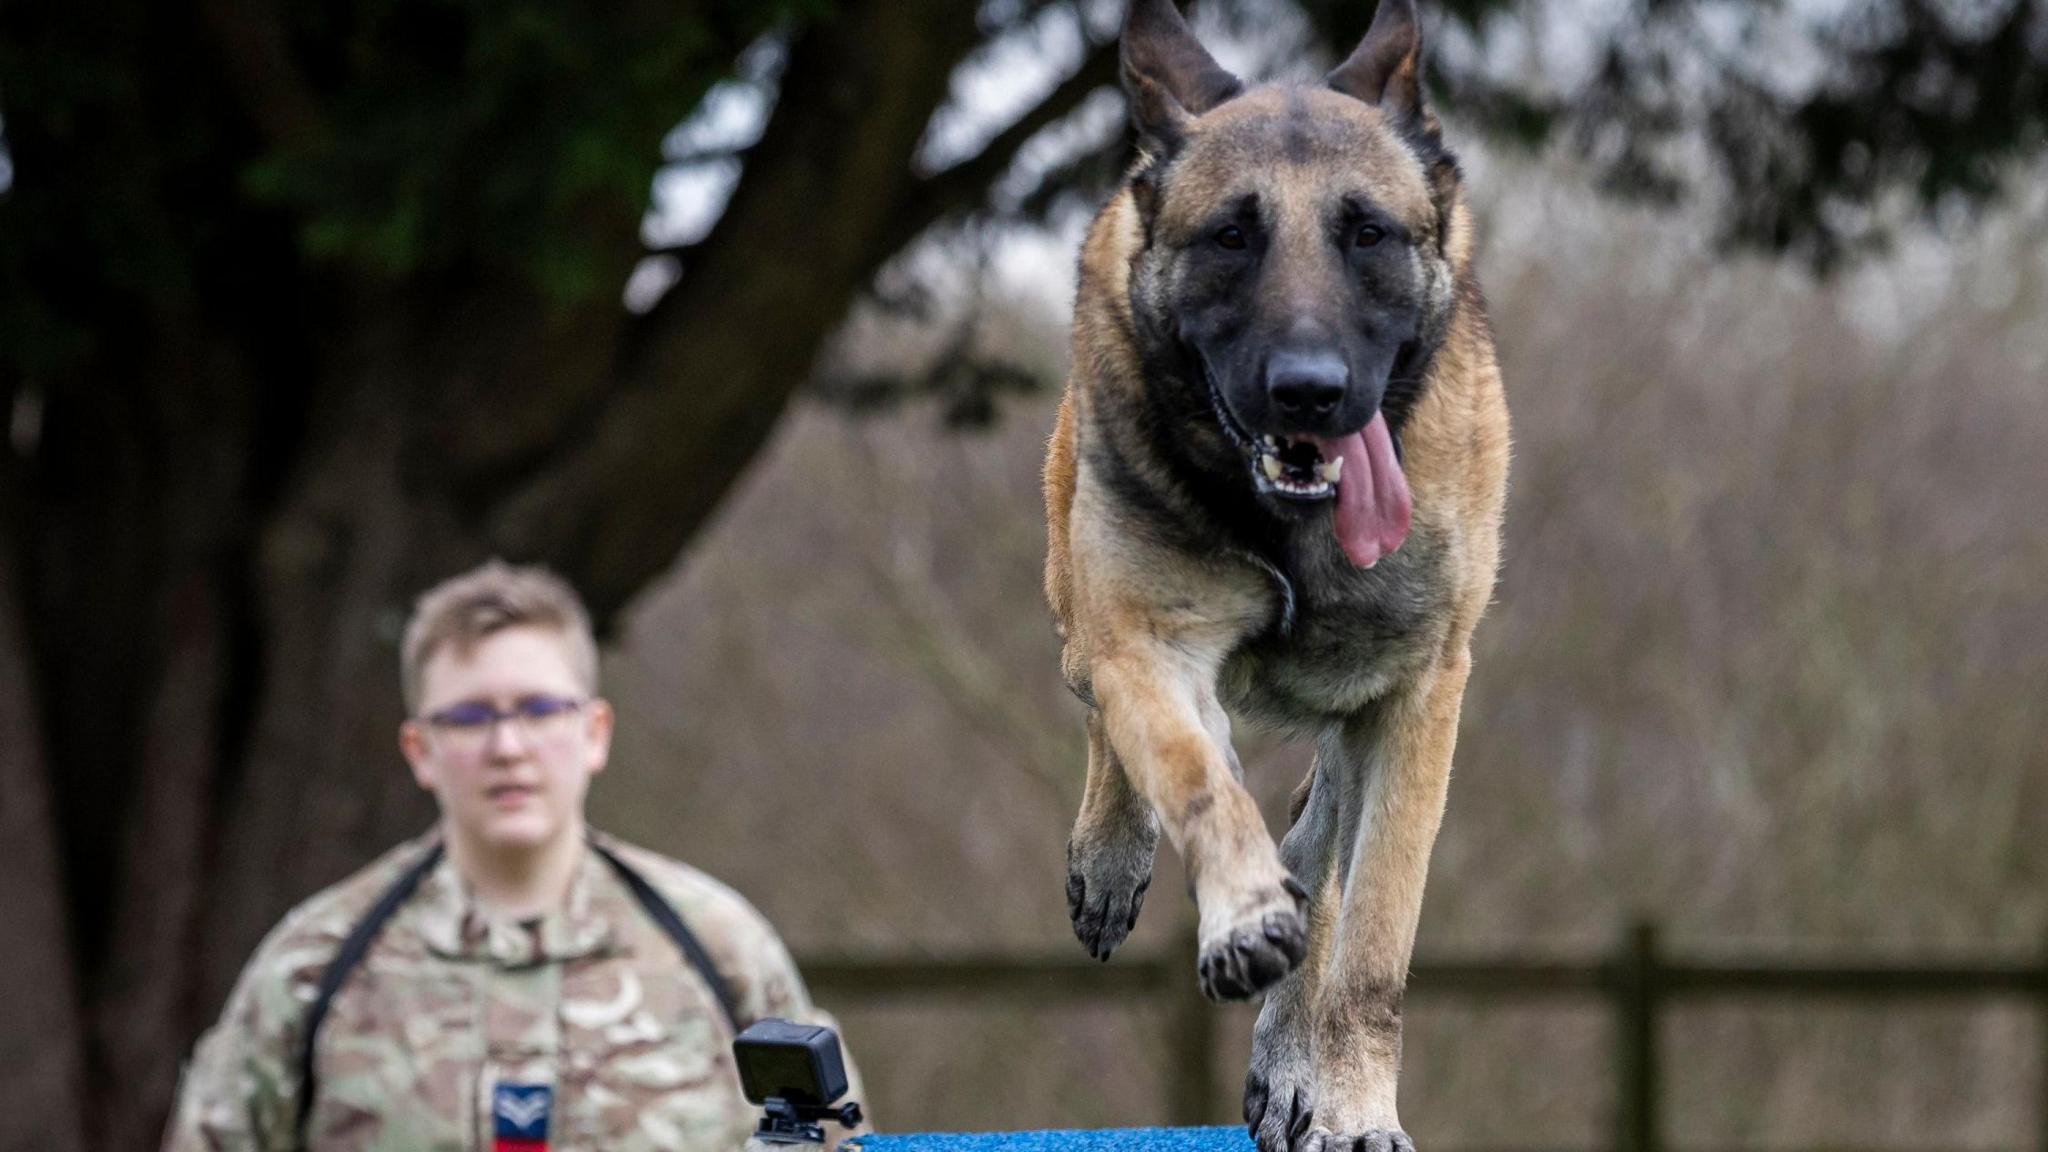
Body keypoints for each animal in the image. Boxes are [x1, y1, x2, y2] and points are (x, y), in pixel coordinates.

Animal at [1048, 2, 1515, 1139]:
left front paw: (1347, 1102)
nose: (1309, 392)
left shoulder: (1415, 695)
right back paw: (1118, 858)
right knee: (1108, 708)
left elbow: (1372, 941)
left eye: (1368, 234)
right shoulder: (1147, 645)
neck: (1289, 531)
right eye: (1230, 236)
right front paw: (1242, 915)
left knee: (1324, 842)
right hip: (1080, 610)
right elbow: (1193, 777)